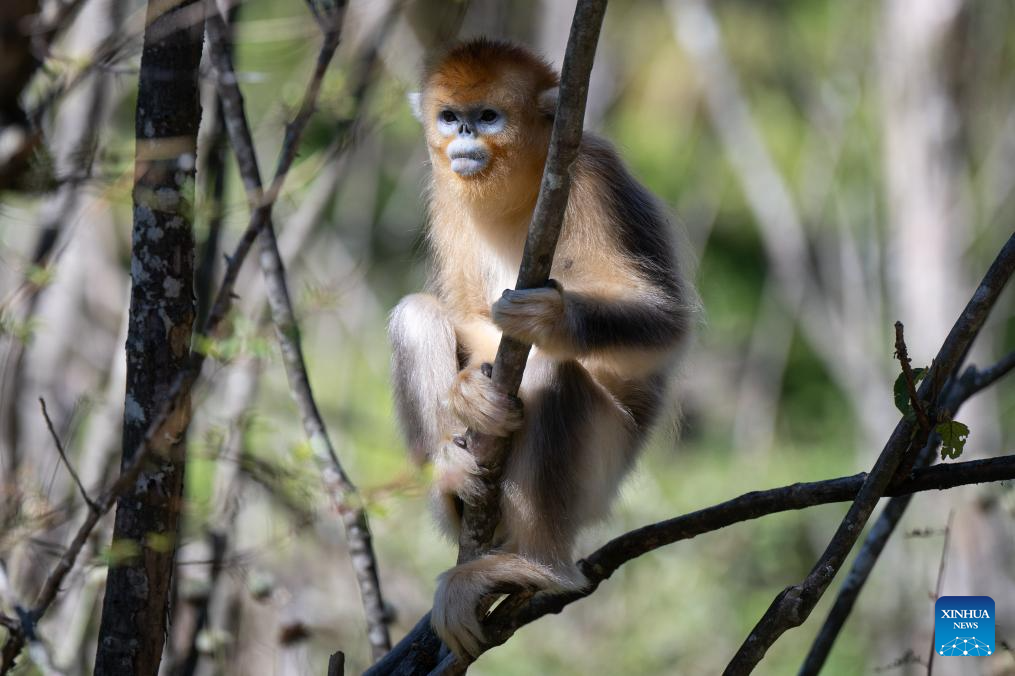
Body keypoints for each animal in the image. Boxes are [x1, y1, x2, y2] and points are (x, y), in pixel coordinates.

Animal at [385, 36, 690, 653]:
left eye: (488, 116)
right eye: (450, 116)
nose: (464, 135)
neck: (525, 188)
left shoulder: (596, 177)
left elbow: (666, 323)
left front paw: (551, 317)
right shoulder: (446, 196)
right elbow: (464, 311)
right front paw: (467, 394)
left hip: (604, 469)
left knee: (551, 372)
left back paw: (541, 568)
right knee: (415, 315)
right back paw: (452, 482)